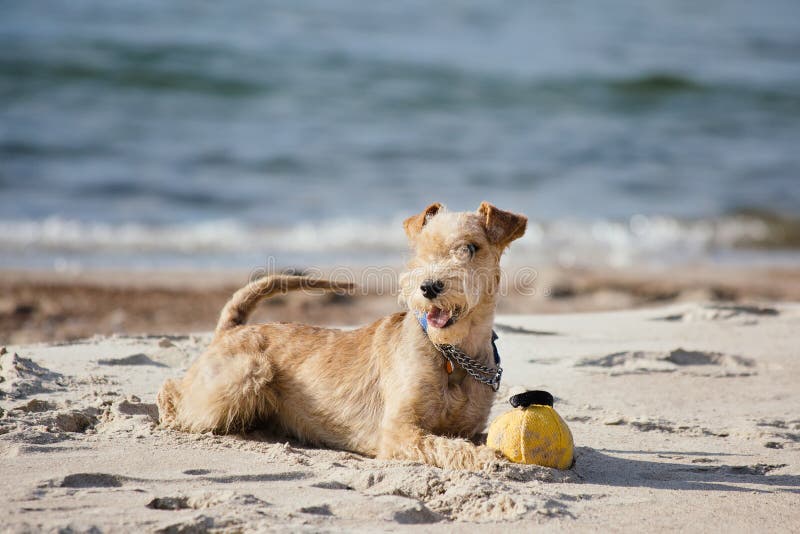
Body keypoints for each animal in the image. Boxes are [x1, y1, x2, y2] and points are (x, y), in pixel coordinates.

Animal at [159, 202, 528, 474]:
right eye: (420, 250)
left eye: (470, 247)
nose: (428, 287)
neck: (452, 353)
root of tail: (230, 330)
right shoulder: (398, 431)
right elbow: (443, 444)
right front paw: (485, 458)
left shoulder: (468, 427)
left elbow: (471, 438)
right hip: (242, 377)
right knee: (173, 390)